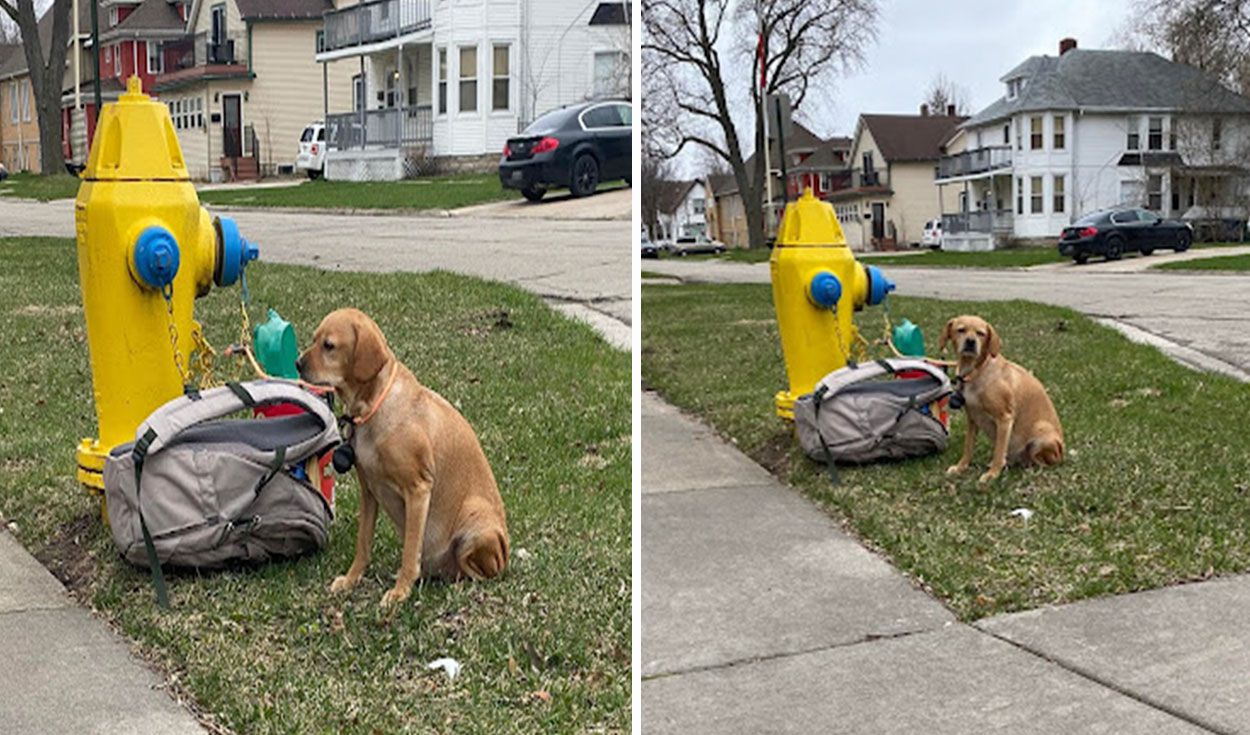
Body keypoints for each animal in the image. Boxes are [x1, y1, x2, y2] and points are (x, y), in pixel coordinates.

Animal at [297, 307, 507, 605]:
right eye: (315, 339)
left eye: (329, 346)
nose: (297, 364)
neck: (372, 406)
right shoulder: (368, 491)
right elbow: (363, 544)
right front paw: (351, 580)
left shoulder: (418, 489)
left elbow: (410, 553)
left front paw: (400, 592)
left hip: (476, 523)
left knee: (481, 573)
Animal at [940, 315, 1065, 482]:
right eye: (961, 330)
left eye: (981, 333)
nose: (971, 342)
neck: (976, 372)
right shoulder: (972, 419)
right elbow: (968, 448)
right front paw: (961, 467)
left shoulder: (1004, 419)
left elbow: (999, 452)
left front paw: (992, 474)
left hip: (1041, 431)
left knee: (1041, 460)